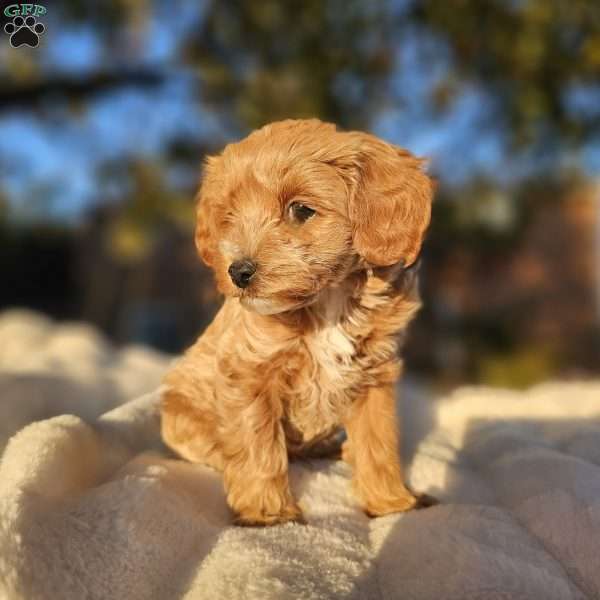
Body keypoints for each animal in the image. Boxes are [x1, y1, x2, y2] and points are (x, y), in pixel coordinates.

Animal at [163, 117, 436, 524]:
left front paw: (392, 502)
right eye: (229, 217)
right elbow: (257, 444)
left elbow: (379, 443)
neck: (328, 300)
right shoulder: (249, 374)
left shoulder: (375, 376)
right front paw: (266, 511)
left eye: (301, 210)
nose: (238, 272)